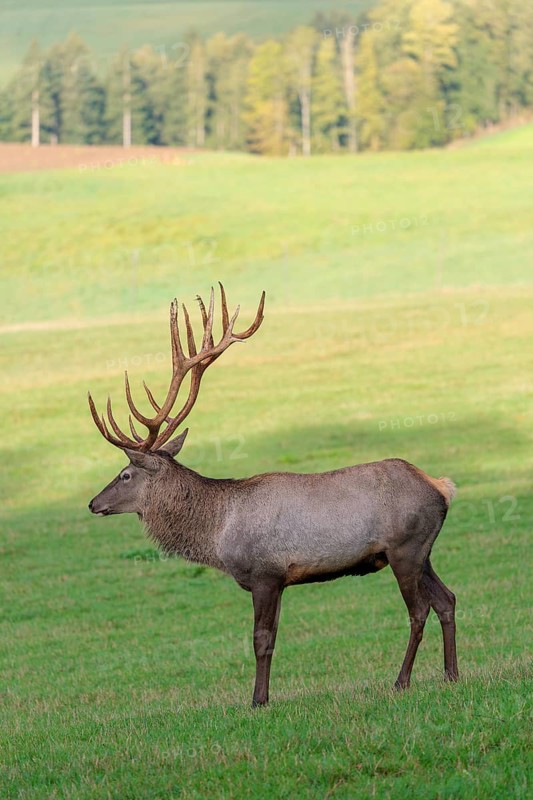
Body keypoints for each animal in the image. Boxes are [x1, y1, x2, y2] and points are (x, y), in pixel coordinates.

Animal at [88, 284, 458, 707]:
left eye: (125, 474)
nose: (93, 503)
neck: (218, 534)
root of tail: (441, 487)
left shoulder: (265, 573)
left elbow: (260, 640)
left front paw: (258, 700)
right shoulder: (279, 580)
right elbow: (272, 638)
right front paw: (262, 695)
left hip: (405, 548)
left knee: (419, 610)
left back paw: (402, 680)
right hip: (423, 551)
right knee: (447, 599)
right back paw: (451, 674)